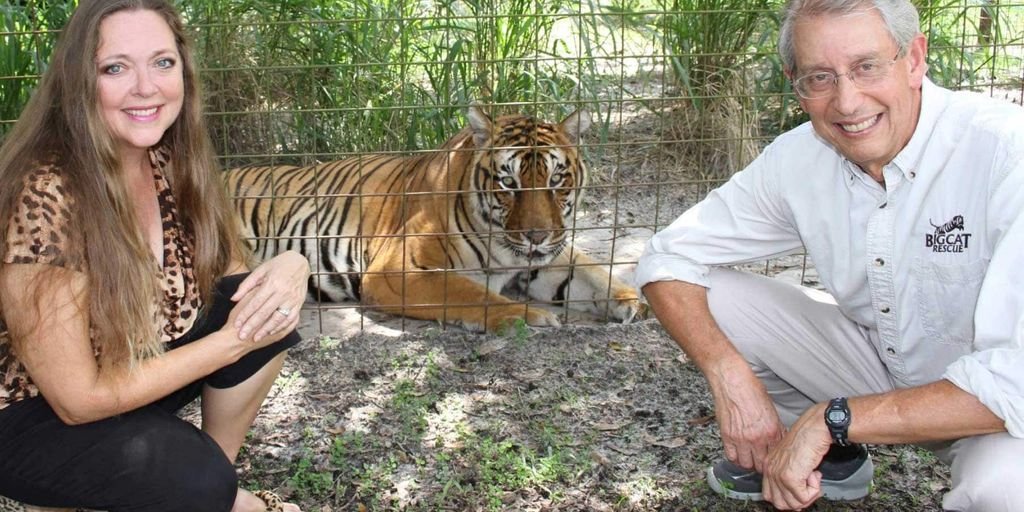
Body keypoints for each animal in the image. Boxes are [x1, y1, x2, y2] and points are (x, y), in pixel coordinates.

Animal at [223, 106, 644, 332]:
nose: (536, 236)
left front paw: (630, 300)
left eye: (556, 180)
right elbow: (468, 292)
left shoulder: (544, 259)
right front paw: (526, 315)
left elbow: (591, 271)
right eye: (509, 183)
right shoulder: (398, 269)